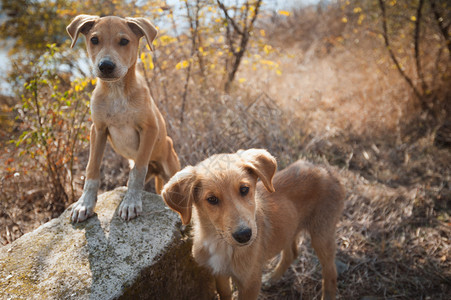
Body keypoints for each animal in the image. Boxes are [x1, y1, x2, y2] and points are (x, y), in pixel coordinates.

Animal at [67, 15, 180, 223]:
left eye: (124, 41)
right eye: (94, 40)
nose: (106, 66)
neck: (116, 92)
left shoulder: (150, 129)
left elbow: (138, 171)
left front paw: (130, 202)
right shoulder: (98, 130)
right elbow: (92, 168)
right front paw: (84, 203)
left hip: (171, 167)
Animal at [162, 150, 346, 300]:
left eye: (244, 189)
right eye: (212, 199)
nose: (244, 235)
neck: (220, 242)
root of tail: (326, 169)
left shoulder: (250, 282)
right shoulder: (219, 273)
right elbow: (226, 294)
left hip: (322, 233)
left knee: (330, 272)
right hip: (291, 228)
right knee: (292, 253)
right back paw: (273, 278)